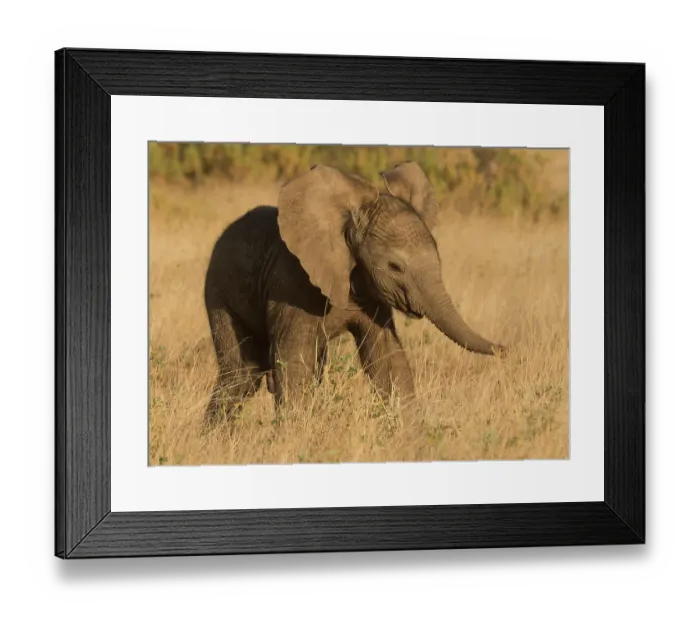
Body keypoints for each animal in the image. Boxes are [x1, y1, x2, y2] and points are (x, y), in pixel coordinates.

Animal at [203, 161, 505, 423]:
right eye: (395, 267)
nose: (506, 349)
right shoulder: (291, 283)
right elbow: (294, 361)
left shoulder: (372, 294)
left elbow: (388, 359)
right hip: (219, 292)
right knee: (240, 373)